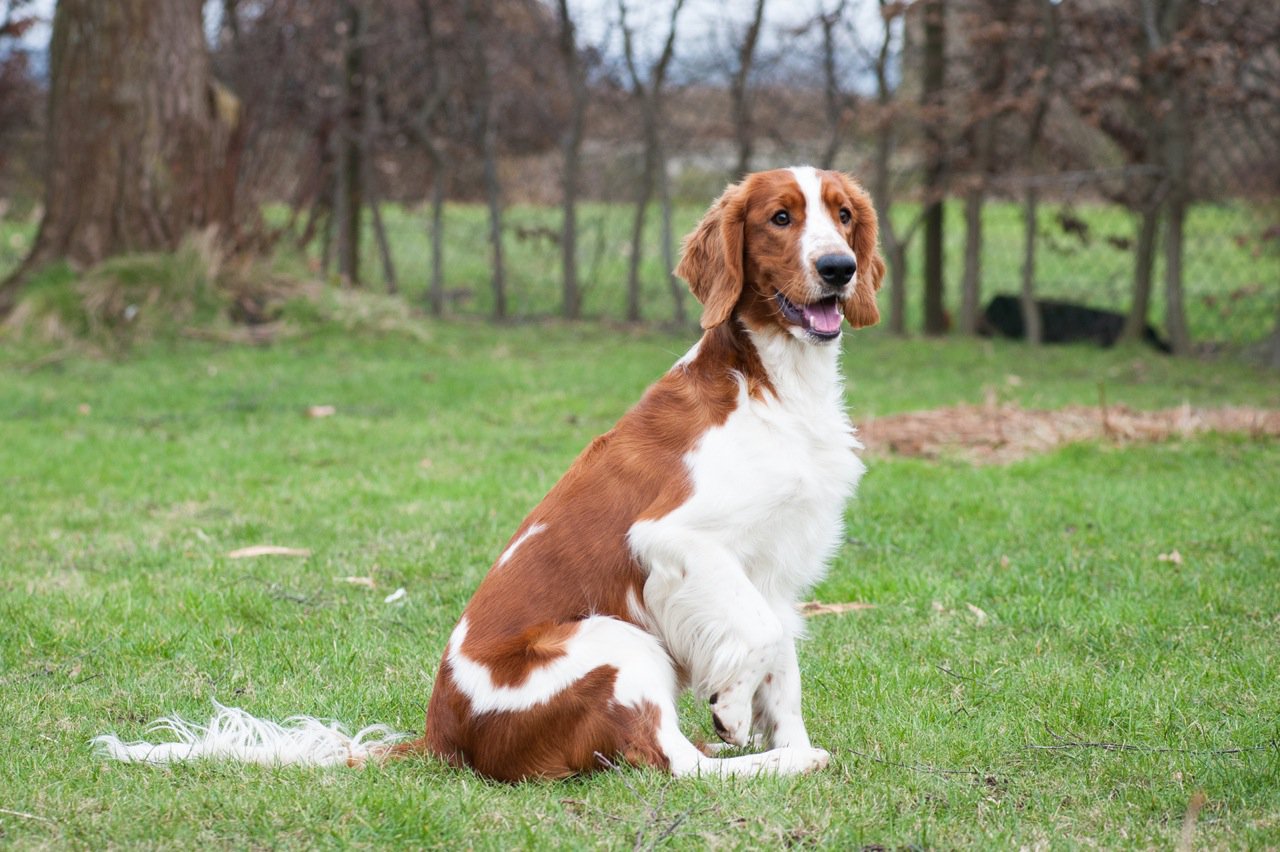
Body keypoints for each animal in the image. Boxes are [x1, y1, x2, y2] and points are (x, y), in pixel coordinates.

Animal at [94, 166, 885, 777]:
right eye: (780, 217)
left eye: (843, 216)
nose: (838, 268)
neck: (773, 382)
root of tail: (443, 736)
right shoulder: (675, 537)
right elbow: (758, 636)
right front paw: (731, 710)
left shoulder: (778, 567)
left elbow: (781, 657)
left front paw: (775, 724)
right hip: (613, 640)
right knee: (674, 765)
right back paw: (770, 761)